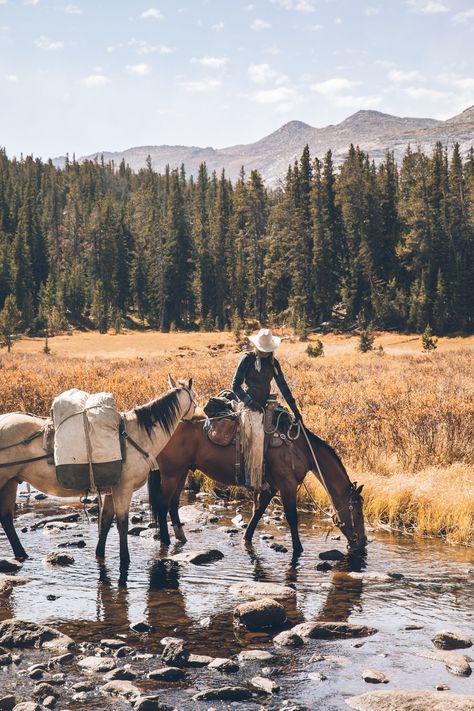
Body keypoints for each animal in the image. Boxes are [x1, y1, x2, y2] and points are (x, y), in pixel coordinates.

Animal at [0, 376, 196, 572]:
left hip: (10, 482)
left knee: (7, 519)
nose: (198, 415)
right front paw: (125, 560)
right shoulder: (124, 488)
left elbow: (106, 522)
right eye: (194, 396)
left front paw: (100, 554)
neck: (138, 435)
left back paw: (22, 554)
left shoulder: (111, 489)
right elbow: (122, 524)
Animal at [148, 418, 366, 560]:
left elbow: (259, 510)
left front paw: (247, 537)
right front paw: (298, 549)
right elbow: (292, 518)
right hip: (171, 472)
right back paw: (166, 541)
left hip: (182, 471)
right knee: (163, 504)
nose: (363, 543)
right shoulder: (287, 485)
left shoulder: (273, 486)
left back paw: (181, 537)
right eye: (357, 511)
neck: (300, 448)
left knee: (173, 503)